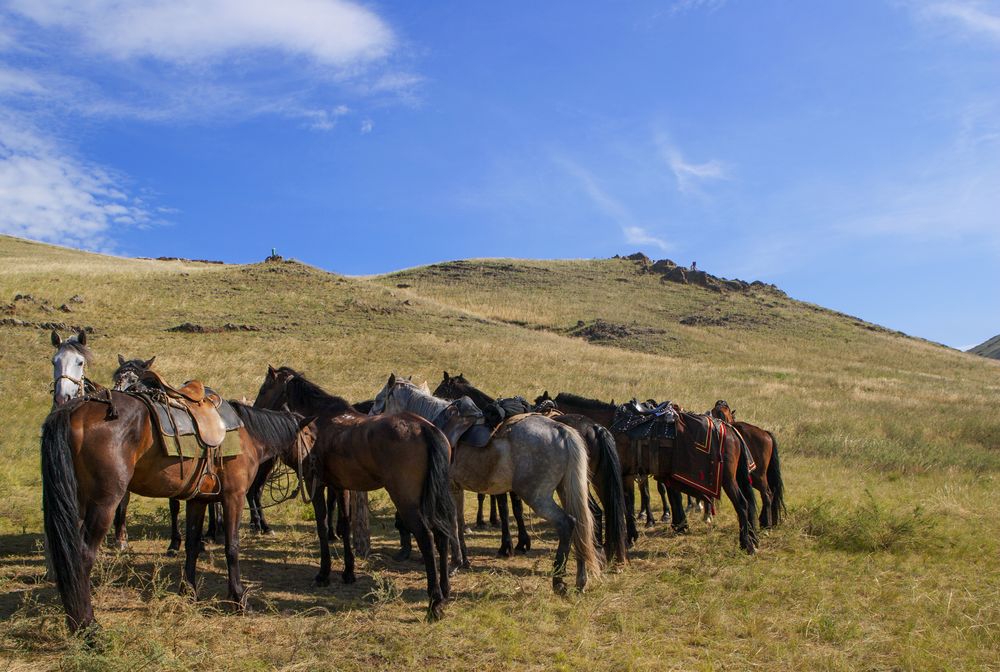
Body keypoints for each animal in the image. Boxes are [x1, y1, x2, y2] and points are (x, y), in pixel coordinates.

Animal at [41, 392, 312, 632]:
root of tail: (75, 409)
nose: (314, 465)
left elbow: (192, 545)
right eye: (310, 436)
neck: (248, 435)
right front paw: (238, 599)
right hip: (103, 504)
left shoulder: (199, 500)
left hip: (75, 503)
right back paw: (88, 627)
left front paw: (188, 593)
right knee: (82, 556)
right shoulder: (233, 497)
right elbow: (232, 548)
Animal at [252, 368, 456, 620]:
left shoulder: (315, 485)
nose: (253, 412)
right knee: (441, 535)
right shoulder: (340, 487)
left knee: (426, 538)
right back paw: (445, 591)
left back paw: (435, 602)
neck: (318, 423)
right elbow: (344, 525)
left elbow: (323, 526)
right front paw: (348, 572)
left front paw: (324, 574)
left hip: (407, 502)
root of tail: (426, 428)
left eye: (264, 389)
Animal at [372, 376, 596, 592]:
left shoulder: (447, 489)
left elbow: (452, 523)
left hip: (537, 497)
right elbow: (459, 521)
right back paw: (580, 579)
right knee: (580, 526)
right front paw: (464, 560)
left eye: (378, 400)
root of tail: (561, 431)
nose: (371, 416)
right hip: (565, 491)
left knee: (566, 524)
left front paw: (455, 563)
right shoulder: (457, 489)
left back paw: (558, 580)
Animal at [532, 392, 756, 552]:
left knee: (742, 504)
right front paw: (632, 535)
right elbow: (630, 503)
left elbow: (625, 504)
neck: (607, 424)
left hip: (727, 479)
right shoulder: (628, 475)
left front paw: (628, 537)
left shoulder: (620, 474)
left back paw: (747, 544)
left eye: (541, 409)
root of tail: (731, 430)